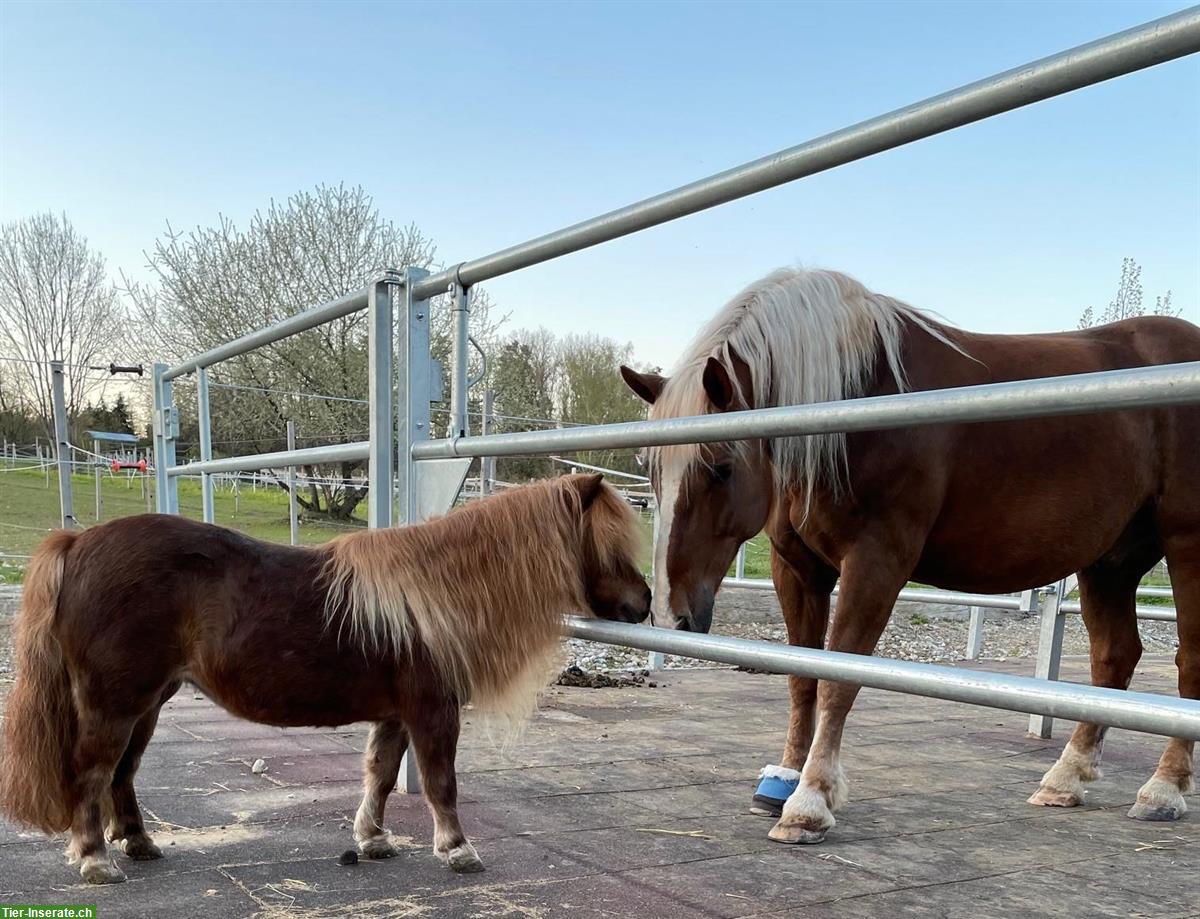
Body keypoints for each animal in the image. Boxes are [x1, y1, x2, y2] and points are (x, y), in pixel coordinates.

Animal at [0, 475, 652, 883]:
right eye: (610, 543)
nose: (645, 603)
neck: (434, 595)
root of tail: (78, 541)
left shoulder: (396, 713)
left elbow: (382, 775)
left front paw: (372, 840)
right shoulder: (432, 711)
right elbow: (441, 783)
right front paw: (458, 850)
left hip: (149, 702)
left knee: (122, 773)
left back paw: (138, 844)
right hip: (115, 703)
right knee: (91, 772)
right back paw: (96, 860)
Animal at [624, 268, 1200, 849]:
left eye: (719, 467)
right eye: (649, 467)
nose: (671, 616)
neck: (852, 401)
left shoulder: (875, 563)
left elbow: (838, 679)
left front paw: (809, 803)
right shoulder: (797, 569)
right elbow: (801, 676)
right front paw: (782, 782)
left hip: (1185, 546)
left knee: (1187, 662)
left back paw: (1162, 790)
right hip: (1110, 561)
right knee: (1114, 657)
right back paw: (1066, 779)